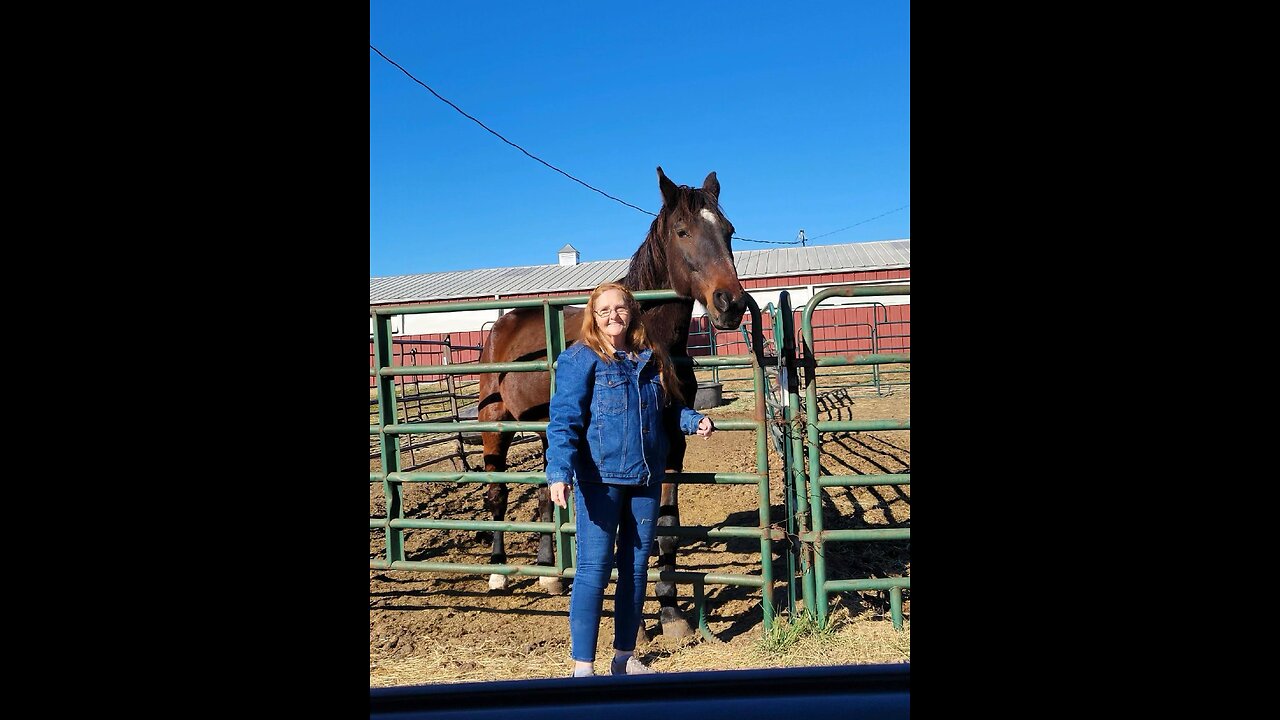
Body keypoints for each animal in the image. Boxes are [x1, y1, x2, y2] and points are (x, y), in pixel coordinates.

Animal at [476, 166, 747, 632]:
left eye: (728, 231)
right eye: (682, 231)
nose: (731, 303)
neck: (648, 345)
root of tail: (500, 326)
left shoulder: (672, 444)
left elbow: (666, 525)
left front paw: (671, 611)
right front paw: (635, 623)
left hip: (547, 430)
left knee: (545, 498)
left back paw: (549, 575)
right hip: (495, 425)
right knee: (498, 494)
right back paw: (497, 573)